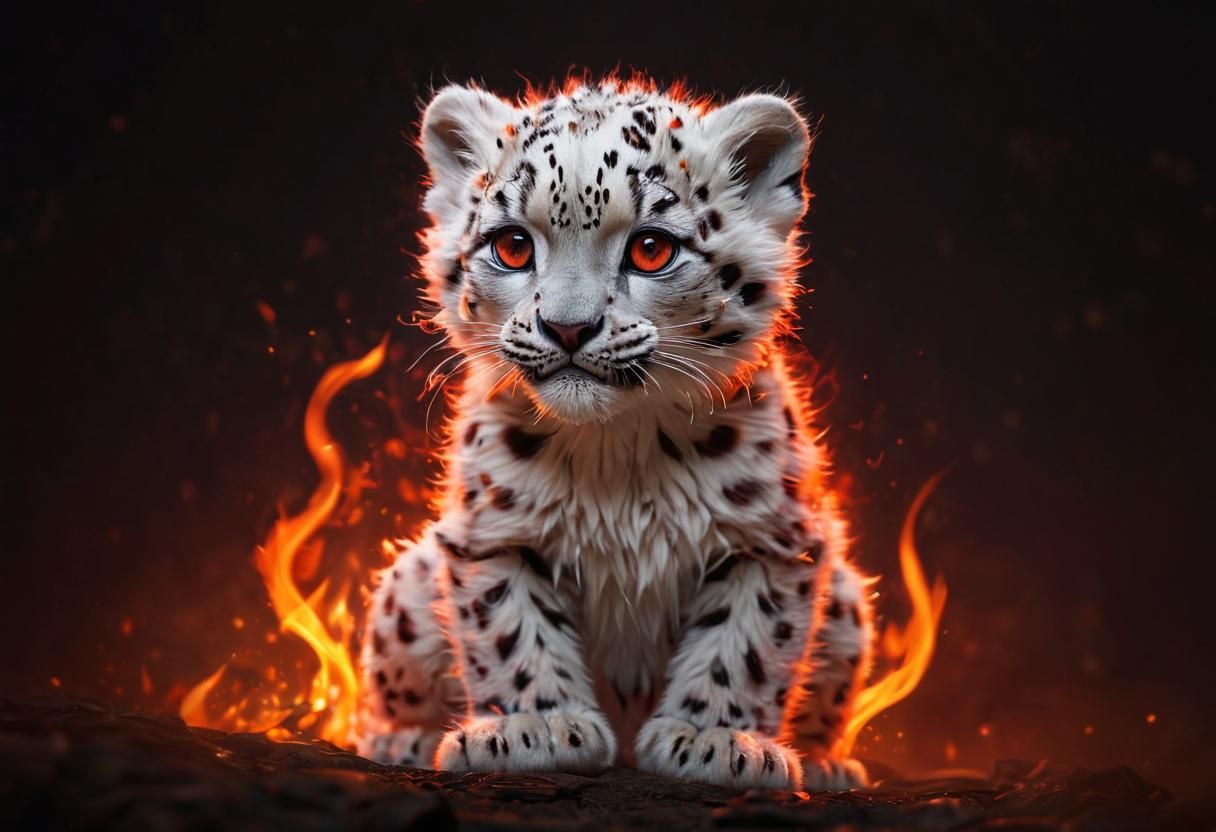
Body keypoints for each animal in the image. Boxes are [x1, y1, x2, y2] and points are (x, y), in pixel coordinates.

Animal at [355, 76, 875, 792]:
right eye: (512, 246)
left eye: (651, 249)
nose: (567, 327)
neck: (617, 451)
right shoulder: (496, 533)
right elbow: (513, 632)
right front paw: (537, 728)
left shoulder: (767, 540)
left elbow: (742, 645)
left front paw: (712, 739)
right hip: (405, 591)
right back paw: (399, 739)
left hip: (847, 603)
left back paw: (827, 766)